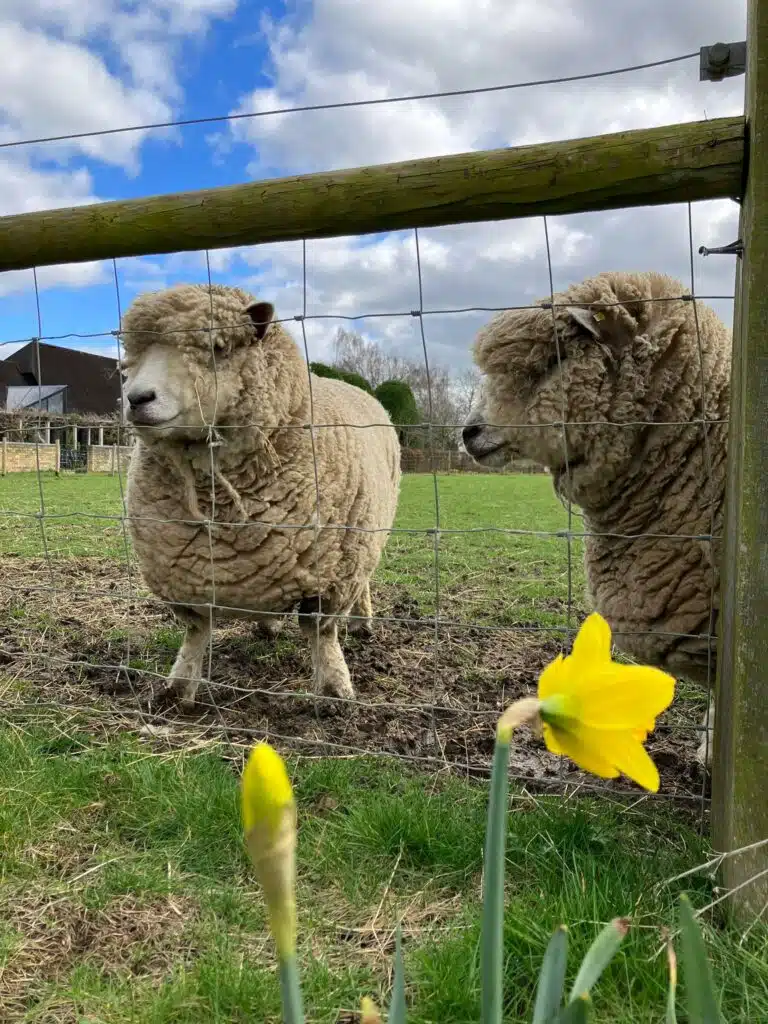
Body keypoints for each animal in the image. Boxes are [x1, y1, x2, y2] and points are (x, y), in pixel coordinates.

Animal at [121, 283, 401, 710]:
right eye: (134, 354)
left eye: (218, 347)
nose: (137, 398)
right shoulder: (187, 578)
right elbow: (196, 634)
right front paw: (178, 687)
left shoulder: (334, 570)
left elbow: (322, 634)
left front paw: (334, 691)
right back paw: (268, 624)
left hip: (366, 534)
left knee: (365, 582)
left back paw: (362, 622)